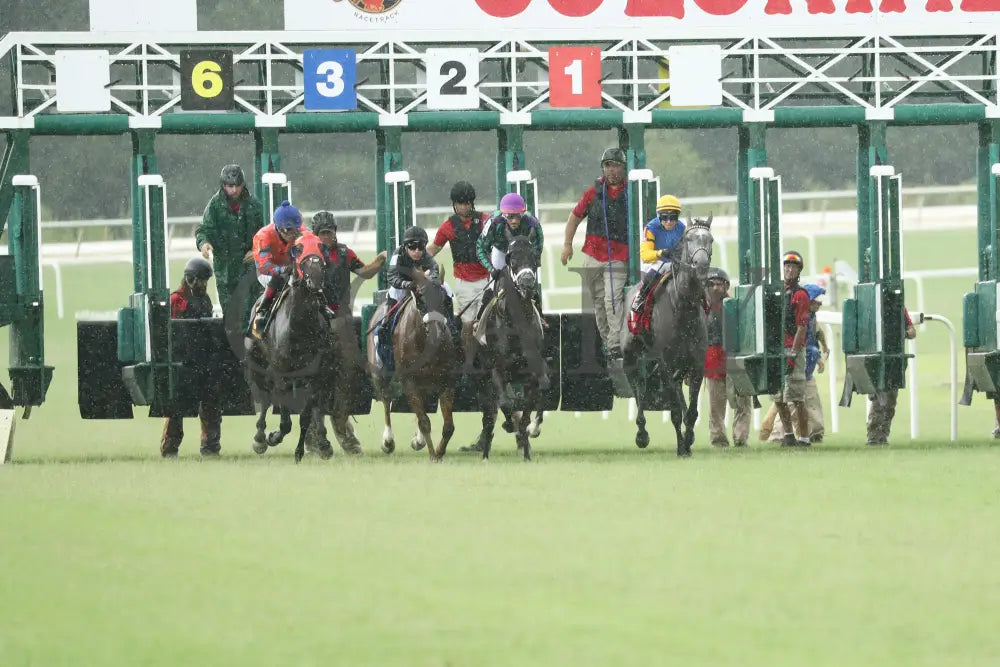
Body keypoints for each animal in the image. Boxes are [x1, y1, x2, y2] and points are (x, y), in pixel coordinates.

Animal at [246, 248, 332, 462]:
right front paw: (272, 437)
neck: (300, 325)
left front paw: (299, 452)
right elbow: (285, 421)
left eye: (322, 262)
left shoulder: (314, 376)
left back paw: (323, 443)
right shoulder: (281, 374)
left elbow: (305, 416)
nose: (315, 284)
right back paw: (260, 438)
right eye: (302, 262)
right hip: (257, 365)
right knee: (264, 397)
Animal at [366, 268, 458, 462]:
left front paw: (439, 452)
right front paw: (433, 455)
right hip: (379, 373)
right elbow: (424, 421)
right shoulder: (409, 382)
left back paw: (419, 440)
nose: (438, 333)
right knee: (386, 400)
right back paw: (388, 441)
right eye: (421, 300)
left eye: (445, 300)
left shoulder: (447, 381)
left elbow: (448, 426)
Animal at [474, 234, 552, 460]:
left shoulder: (533, 372)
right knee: (489, 414)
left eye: (534, 257)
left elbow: (534, 399)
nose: (527, 283)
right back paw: (485, 452)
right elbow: (506, 404)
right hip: (484, 379)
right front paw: (510, 425)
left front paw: (531, 431)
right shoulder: (497, 370)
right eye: (512, 258)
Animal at [620, 219, 716, 460]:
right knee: (637, 388)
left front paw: (688, 440)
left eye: (710, 239)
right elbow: (673, 410)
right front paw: (681, 447)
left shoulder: (696, 363)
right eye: (689, 239)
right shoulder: (665, 363)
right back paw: (642, 433)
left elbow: (691, 411)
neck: (682, 307)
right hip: (630, 356)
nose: (701, 264)